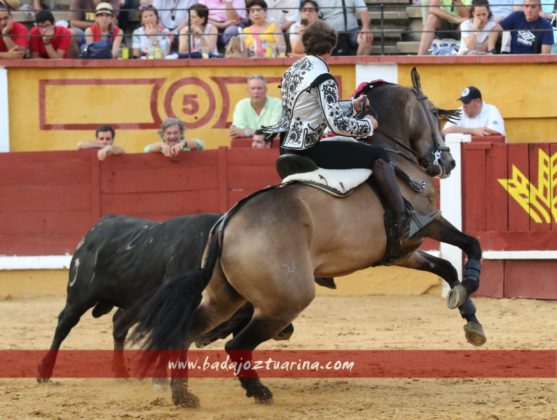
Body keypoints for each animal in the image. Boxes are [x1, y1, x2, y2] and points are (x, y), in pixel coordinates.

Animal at [37, 213, 294, 380]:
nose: (287, 330)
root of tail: (100, 225)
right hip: (79, 295)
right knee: (64, 324)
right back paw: (44, 372)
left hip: (136, 302)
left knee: (119, 324)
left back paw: (121, 373)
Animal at [132, 69, 484, 406]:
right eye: (433, 111)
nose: (447, 161)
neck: (398, 157)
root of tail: (227, 224)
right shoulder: (427, 224)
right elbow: (470, 244)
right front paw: (471, 286)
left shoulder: (402, 252)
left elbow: (446, 267)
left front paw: (471, 321)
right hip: (287, 301)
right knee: (237, 344)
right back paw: (258, 391)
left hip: (224, 297)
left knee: (185, 332)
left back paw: (184, 396)